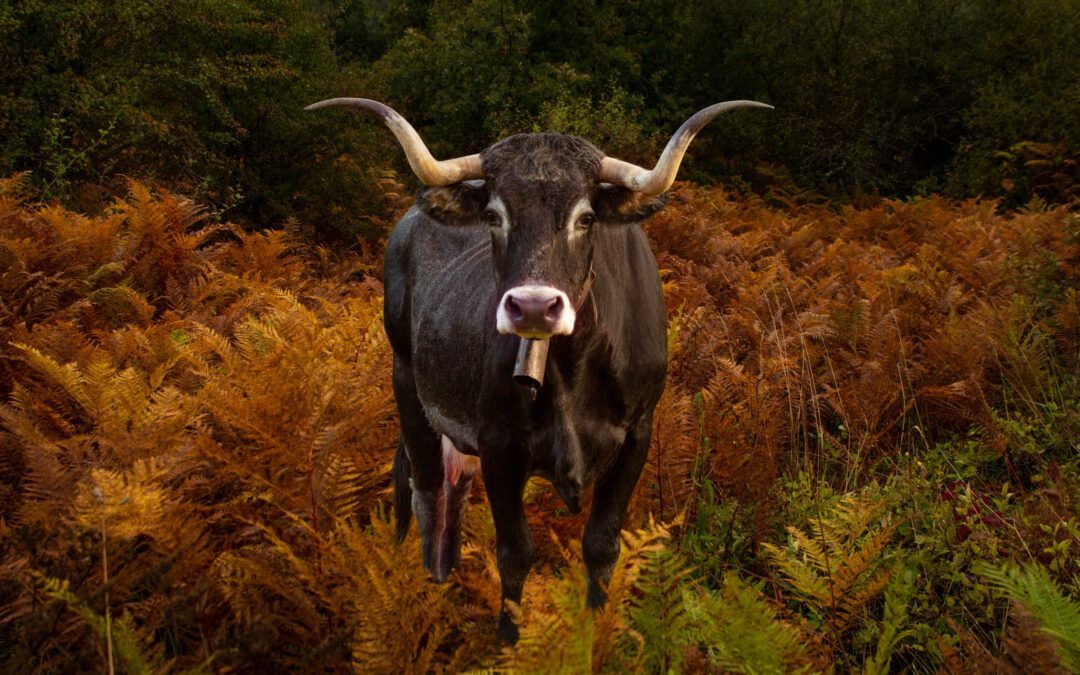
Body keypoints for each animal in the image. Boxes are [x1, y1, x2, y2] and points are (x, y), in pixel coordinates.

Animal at [306, 97, 770, 642]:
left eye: (586, 217)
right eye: (493, 215)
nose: (532, 307)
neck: (573, 370)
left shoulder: (638, 435)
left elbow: (601, 544)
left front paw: (595, 634)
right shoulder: (498, 444)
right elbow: (515, 553)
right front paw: (509, 643)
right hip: (407, 385)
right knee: (424, 490)